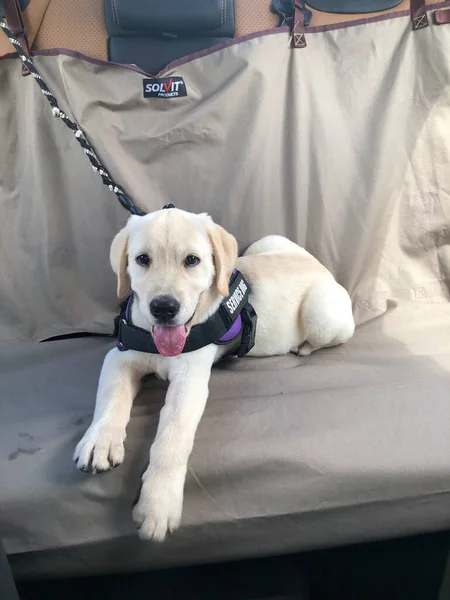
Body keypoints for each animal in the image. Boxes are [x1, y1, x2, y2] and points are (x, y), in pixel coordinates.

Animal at [74, 209, 356, 540]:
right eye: (142, 259)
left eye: (192, 260)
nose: (164, 307)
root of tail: (324, 269)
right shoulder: (119, 357)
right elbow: (111, 400)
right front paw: (100, 441)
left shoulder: (190, 380)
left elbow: (172, 437)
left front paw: (158, 503)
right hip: (267, 242)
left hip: (322, 317)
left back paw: (303, 347)